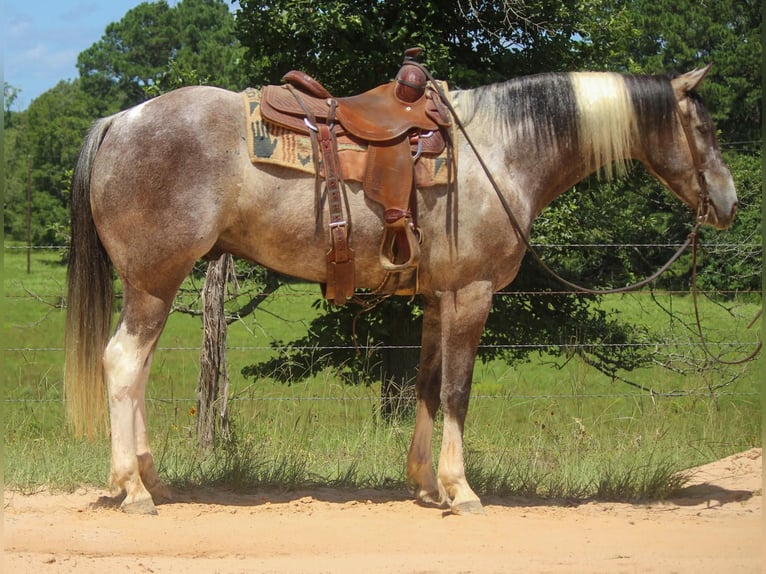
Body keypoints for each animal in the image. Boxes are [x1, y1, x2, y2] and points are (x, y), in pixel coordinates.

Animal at [64, 64, 736, 516]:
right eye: (705, 127)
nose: (728, 204)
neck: (499, 152)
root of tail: (120, 120)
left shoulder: (438, 298)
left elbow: (427, 386)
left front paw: (424, 482)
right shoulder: (473, 293)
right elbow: (459, 391)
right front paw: (461, 489)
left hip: (153, 285)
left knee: (137, 369)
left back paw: (152, 480)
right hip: (153, 283)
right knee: (122, 363)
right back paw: (132, 490)